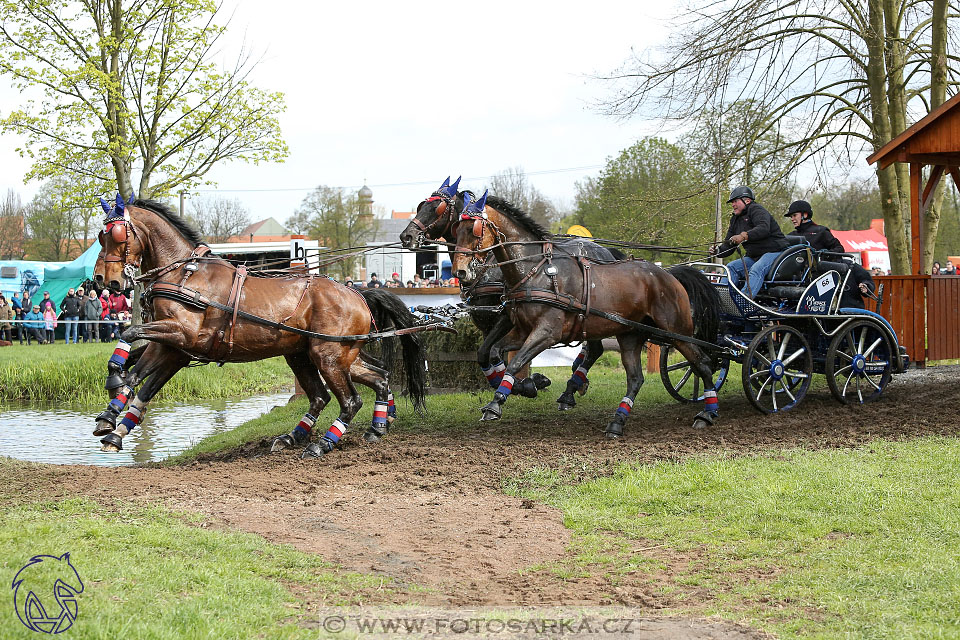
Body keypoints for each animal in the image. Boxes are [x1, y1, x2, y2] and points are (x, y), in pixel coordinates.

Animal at [94, 192, 432, 458]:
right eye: (100, 235)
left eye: (117, 234)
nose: (103, 280)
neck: (185, 273)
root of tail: (358, 293)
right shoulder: (173, 347)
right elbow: (141, 381)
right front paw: (113, 421)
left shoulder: (179, 335)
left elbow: (131, 344)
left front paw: (114, 388)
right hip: (312, 354)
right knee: (366, 381)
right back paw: (360, 428)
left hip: (328, 356)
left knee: (350, 399)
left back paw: (322, 444)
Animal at [400, 176, 620, 404]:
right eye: (422, 206)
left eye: (438, 208)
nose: (407, 235)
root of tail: (607, 252)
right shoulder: (486, 322)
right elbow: (484, 353)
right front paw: (517, 384)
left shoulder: (505, 317)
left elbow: (501, 355)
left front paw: (528, 383)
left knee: (595, 348)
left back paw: (571, 387)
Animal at [450, 192, 720, 438]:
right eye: (456, 228)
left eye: (474, 229)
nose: (460, 272)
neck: (535, 271)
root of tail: (670, 275)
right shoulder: (522, 330)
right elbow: (496, 351)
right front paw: (523, 387)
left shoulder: (546, 333)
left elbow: (515, 362)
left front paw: (497, 402)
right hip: (631, 335)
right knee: (636, 378)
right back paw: (617, 422)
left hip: (677, 332)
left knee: (703, 364)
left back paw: (707, 413)